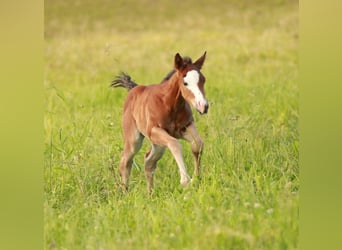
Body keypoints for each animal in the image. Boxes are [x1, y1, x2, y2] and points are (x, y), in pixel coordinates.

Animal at [112, 51, 208, 193]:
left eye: (203, 80)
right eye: (185, 83)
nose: (203, 106)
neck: (169, 104)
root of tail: (133, 88)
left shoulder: (186, 126)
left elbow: (198, 144)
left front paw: (197, 178)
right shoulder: (154, 131)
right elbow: (175, 144)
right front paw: (185, 181)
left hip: (159, 145)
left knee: (148, 161)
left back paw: (150, 193)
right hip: (135, 139)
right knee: (125, 160)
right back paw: (125, 191)